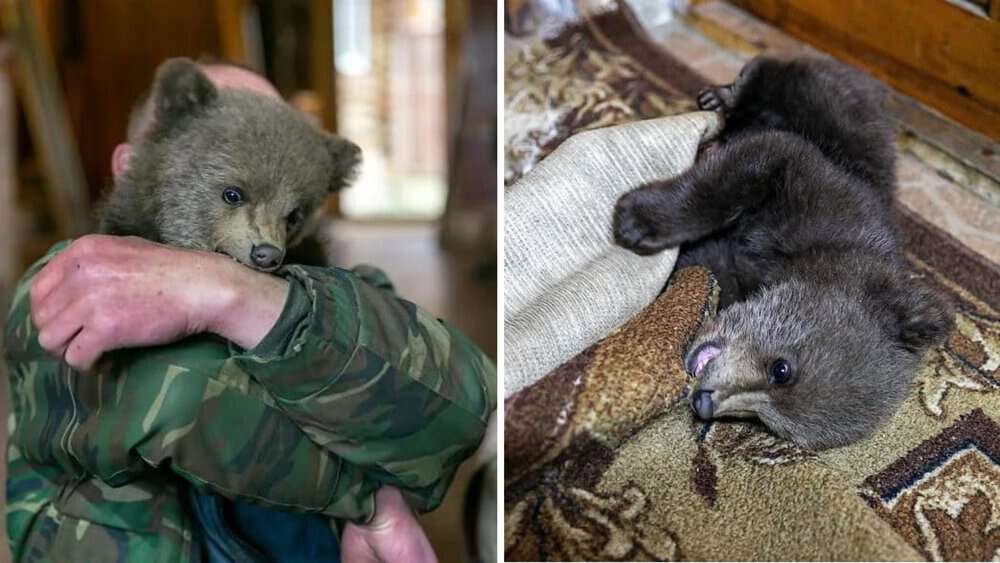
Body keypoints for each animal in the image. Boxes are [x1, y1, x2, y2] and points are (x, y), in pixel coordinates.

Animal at [613, 56, 953, 450]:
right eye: (782, 369)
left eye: (763, 422)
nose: (704, 402)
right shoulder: (817, 192)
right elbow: (753, 164)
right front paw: (640, 219)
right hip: (816, 93)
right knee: (771, 73)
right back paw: (723, 95)